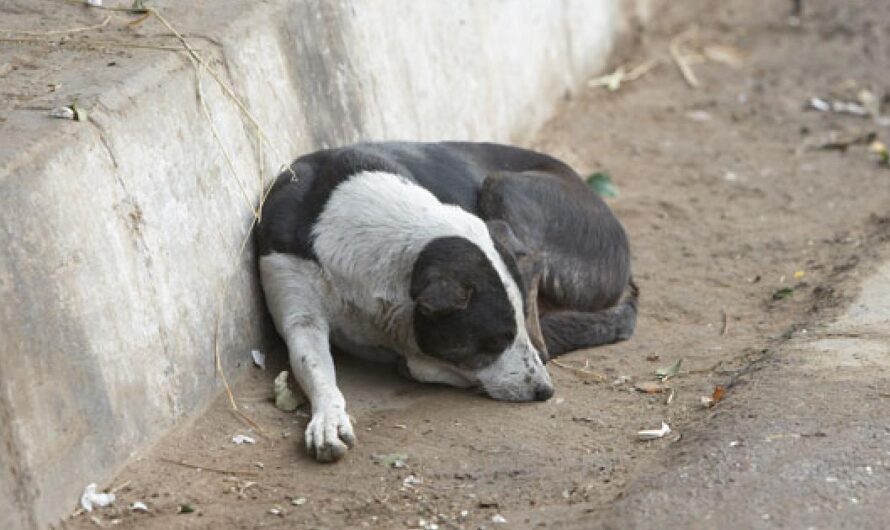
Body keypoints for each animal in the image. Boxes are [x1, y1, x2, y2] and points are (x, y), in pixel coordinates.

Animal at [253, 142, 636, 460]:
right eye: (493, 342)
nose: (545, 391)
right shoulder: (297, 310)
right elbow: (317, 368)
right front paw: (328, 420)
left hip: (503, 186)